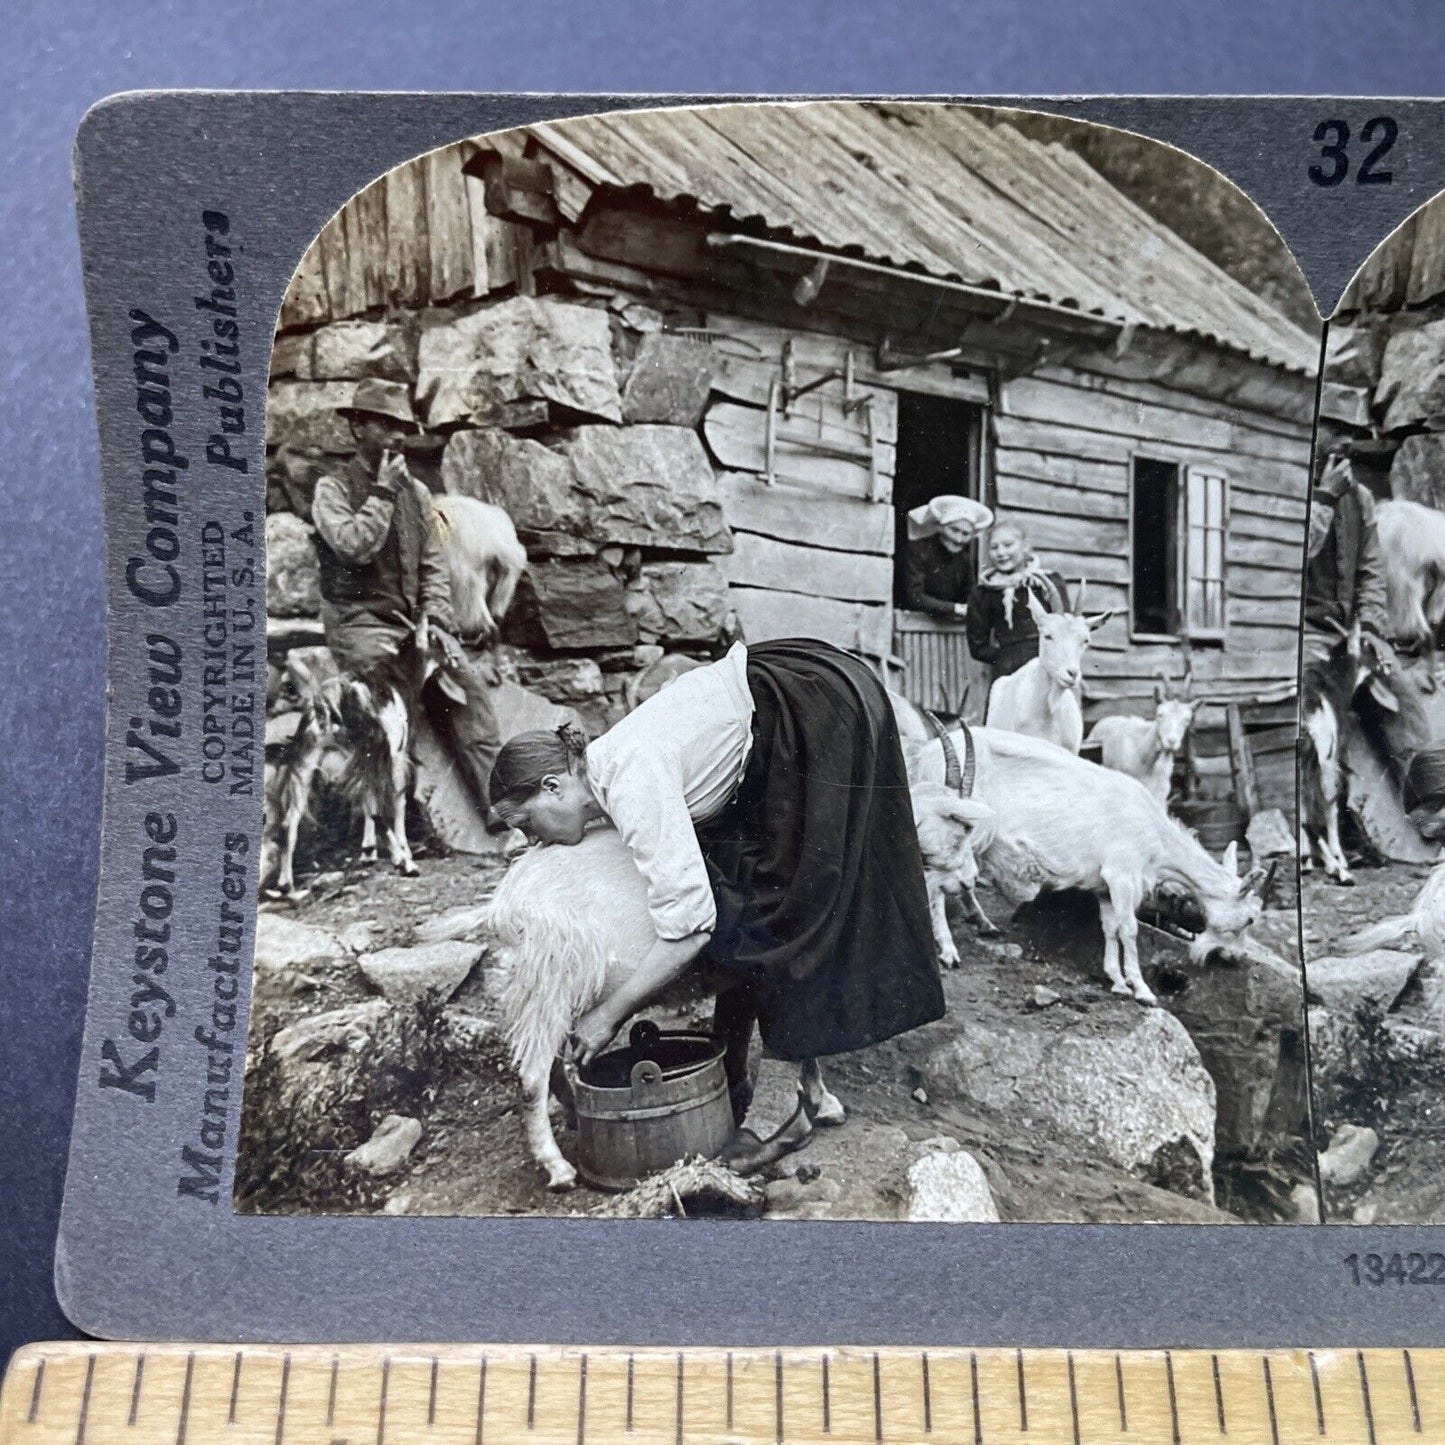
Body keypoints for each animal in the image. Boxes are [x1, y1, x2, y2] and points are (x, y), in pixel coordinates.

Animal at [491, 832, 843, 1190]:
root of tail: (506, 904)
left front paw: (820, 1100)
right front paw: (820, 1101)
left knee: (551, 1066)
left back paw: (576, 1113)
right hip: (549, 983)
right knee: (532, 1078)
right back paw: (558, 1167)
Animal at [907, 719, 1271, 1011]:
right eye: (1249, 918)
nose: (1235, 958)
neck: (1153, 830)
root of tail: (925, 758)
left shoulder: (1106, 887)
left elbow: (1109, 927)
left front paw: (1117, 981)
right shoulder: (1123, 875)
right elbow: (1129, 929)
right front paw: (1142, 990)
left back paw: (983, 923)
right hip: (956, 835)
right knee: (936, 887)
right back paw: (949, 950)